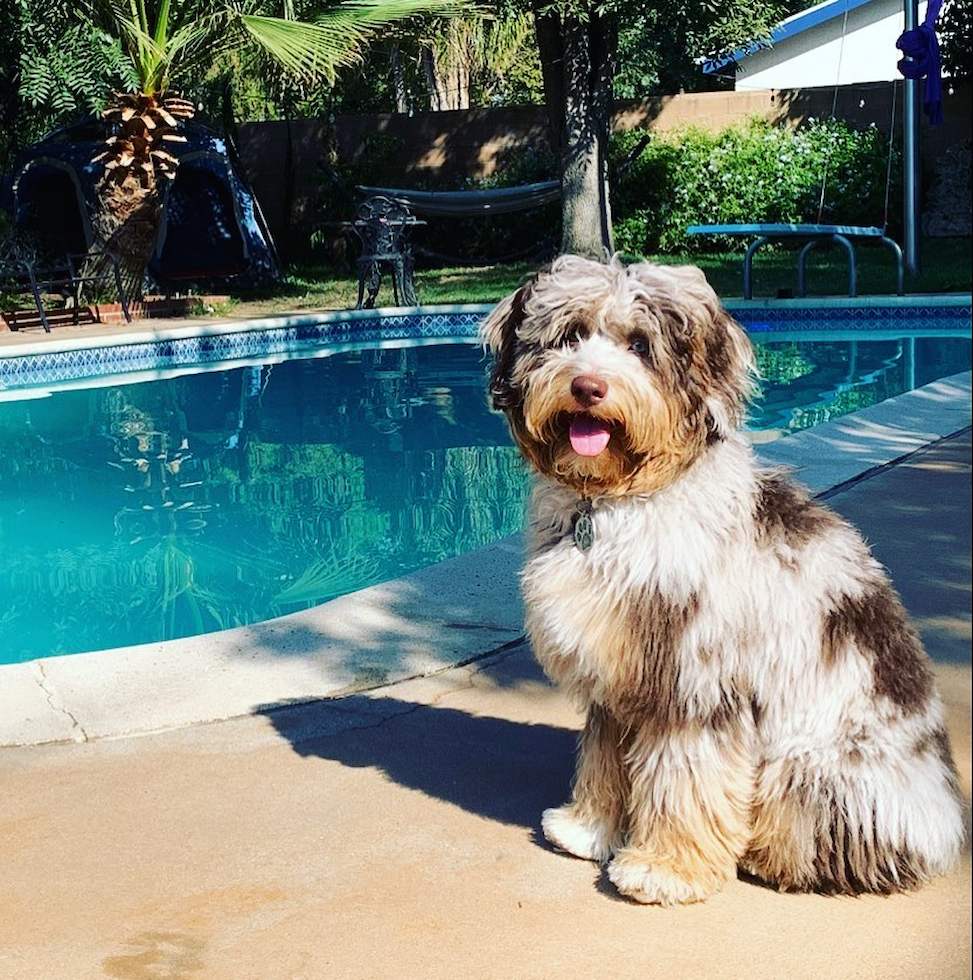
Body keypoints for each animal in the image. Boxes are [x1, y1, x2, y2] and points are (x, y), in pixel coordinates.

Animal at [478, 251, 964, 904]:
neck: (614, 504)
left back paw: (763, 853)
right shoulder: (619, 665)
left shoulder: (694, 679)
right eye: (570, 335)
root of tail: (945, 819)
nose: (587, 386)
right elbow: (603, 754)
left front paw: (664, 868)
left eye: (640, 344)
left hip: (810, 769)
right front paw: (587, 830)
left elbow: (683, 778)